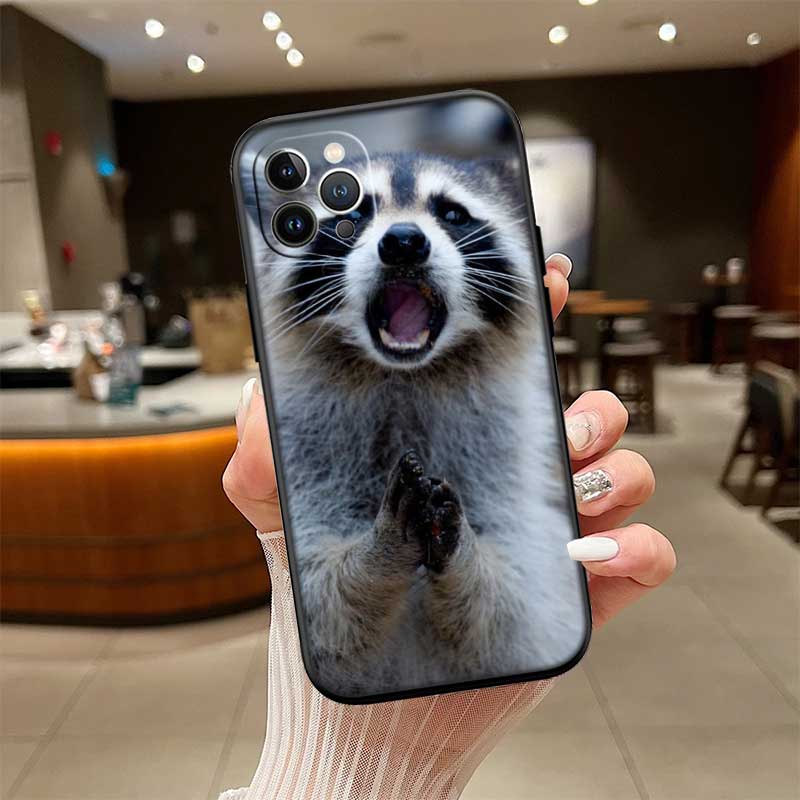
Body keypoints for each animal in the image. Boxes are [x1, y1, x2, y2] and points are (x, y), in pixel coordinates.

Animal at [252, 153, 584, 698]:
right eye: (356, 213)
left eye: (452, 213)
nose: (404, 240)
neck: (403, 374)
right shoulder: (307, 460)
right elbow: (320, 589)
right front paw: (372, 558)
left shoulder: (505, 478)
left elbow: (517, 595)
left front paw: (469, 557)